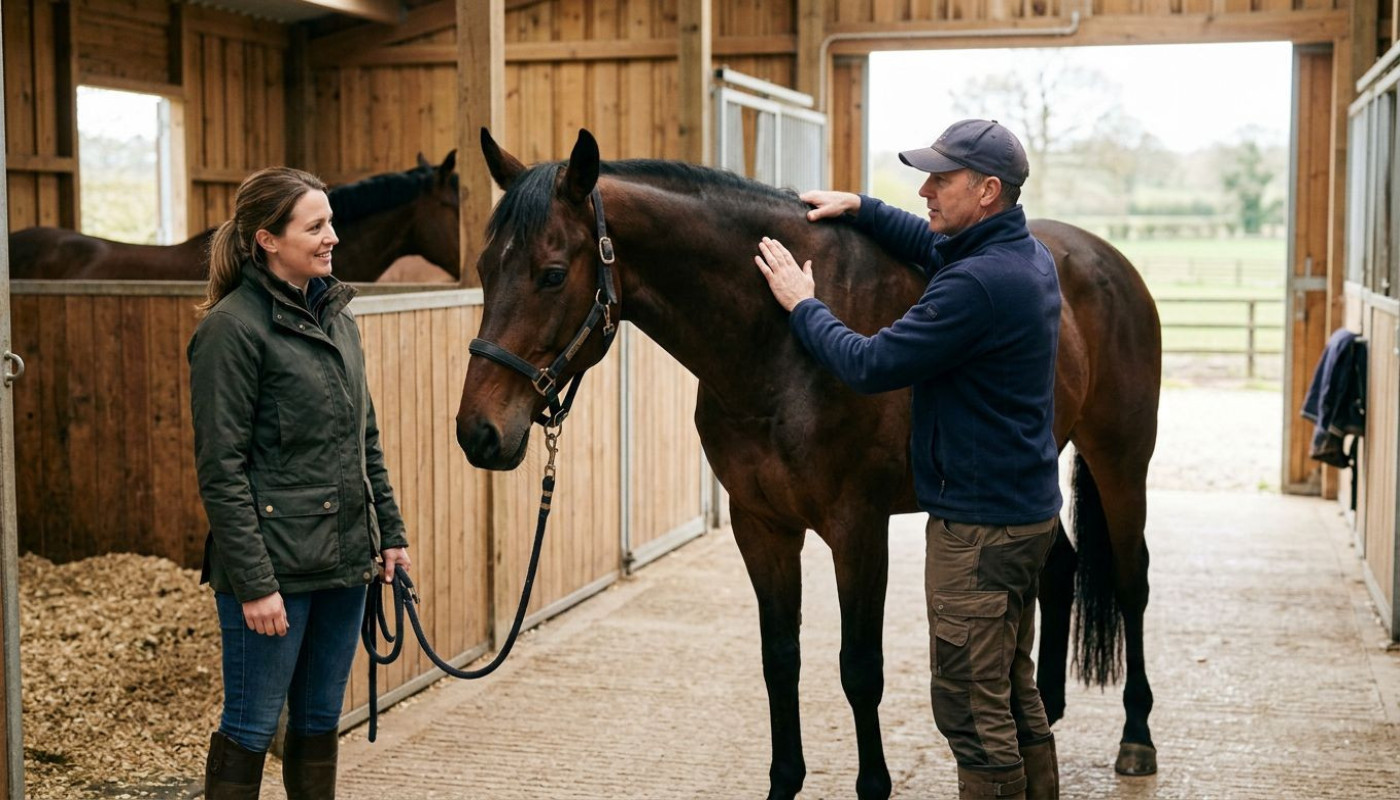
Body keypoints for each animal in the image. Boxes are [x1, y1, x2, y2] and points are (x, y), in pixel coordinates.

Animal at [455, 129, 1161, 800]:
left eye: (551, 274)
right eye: (484, 268)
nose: (477, 433)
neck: (777, 346)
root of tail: (1103, 259)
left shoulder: (858, 531)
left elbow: (860, 670)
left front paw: (872, 787)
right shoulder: (761, 525)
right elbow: (780, 659)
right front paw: (783, 782)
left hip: (1121, 459)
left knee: (1131, 582)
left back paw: (1136, 737)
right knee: (1057, 569)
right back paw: (1047, 712)